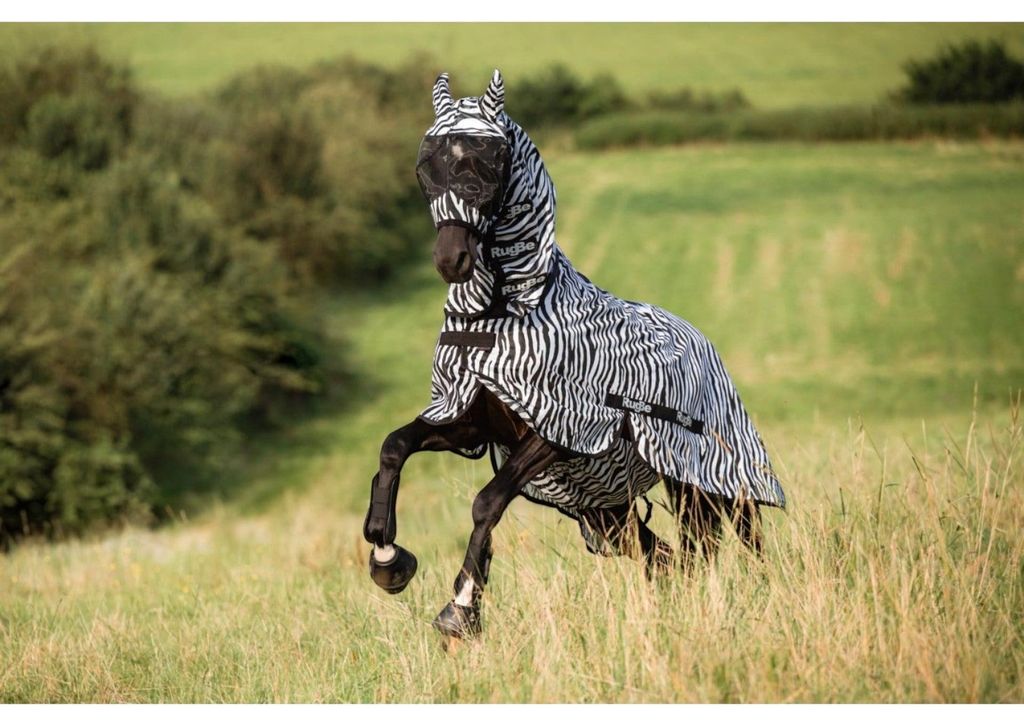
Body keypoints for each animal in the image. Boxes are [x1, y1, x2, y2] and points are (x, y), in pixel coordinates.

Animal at [363, 69, 786, 640]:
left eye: (489, 165)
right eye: (426, 165)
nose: (452, 260)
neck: (504, 314)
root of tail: (701, 341)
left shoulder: (558, 432)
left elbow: (487, 501)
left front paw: (461, 607)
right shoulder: (470, 421)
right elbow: (394, 447)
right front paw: (387, 559)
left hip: (714, 482)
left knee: (745, 541)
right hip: (611, 513)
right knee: (670, 558)